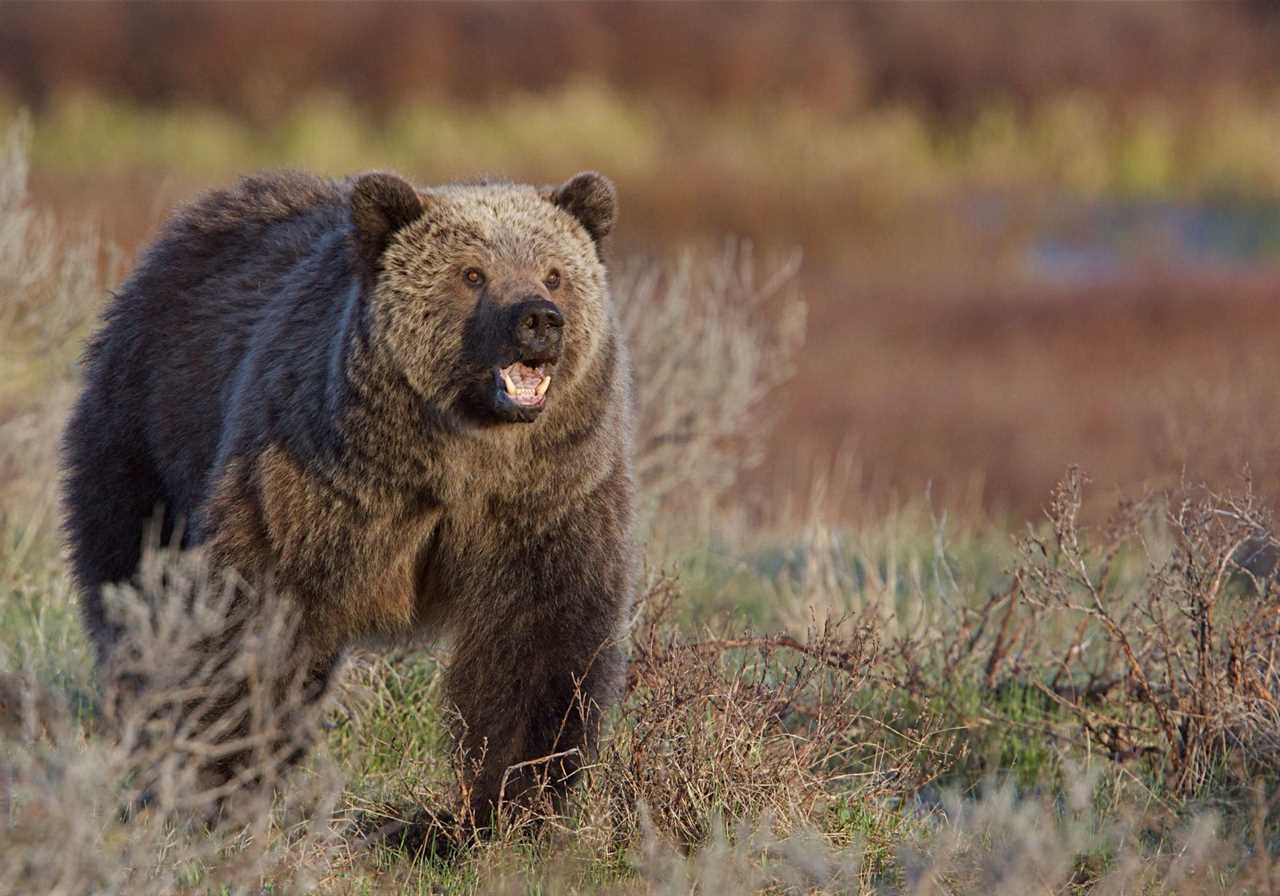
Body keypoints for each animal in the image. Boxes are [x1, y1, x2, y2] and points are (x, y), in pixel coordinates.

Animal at [60, 167, 634, 824]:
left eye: (555, 273)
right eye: (472, 274)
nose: (539, 318)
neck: (453, 459)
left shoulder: (546, 499)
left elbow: (539, 641)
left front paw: (503, 803)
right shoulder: (316, 482)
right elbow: (257, 615)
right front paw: (221, 778)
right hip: (146, 436)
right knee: (134, 583)